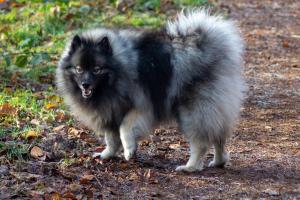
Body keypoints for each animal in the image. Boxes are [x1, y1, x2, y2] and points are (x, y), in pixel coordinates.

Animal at [55, 9, 244, 172]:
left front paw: (129, 150)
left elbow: (125, 129)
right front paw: (106, 154)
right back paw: (219, 161)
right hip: (213, 111)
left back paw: (190, 167)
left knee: (201, 142)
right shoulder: (111, 111)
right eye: (79, 69)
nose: (85, 84)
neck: (118, 71)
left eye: (96, 69)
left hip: (193, 112)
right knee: (219, 136)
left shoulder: (141, 106)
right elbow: (111, 138)